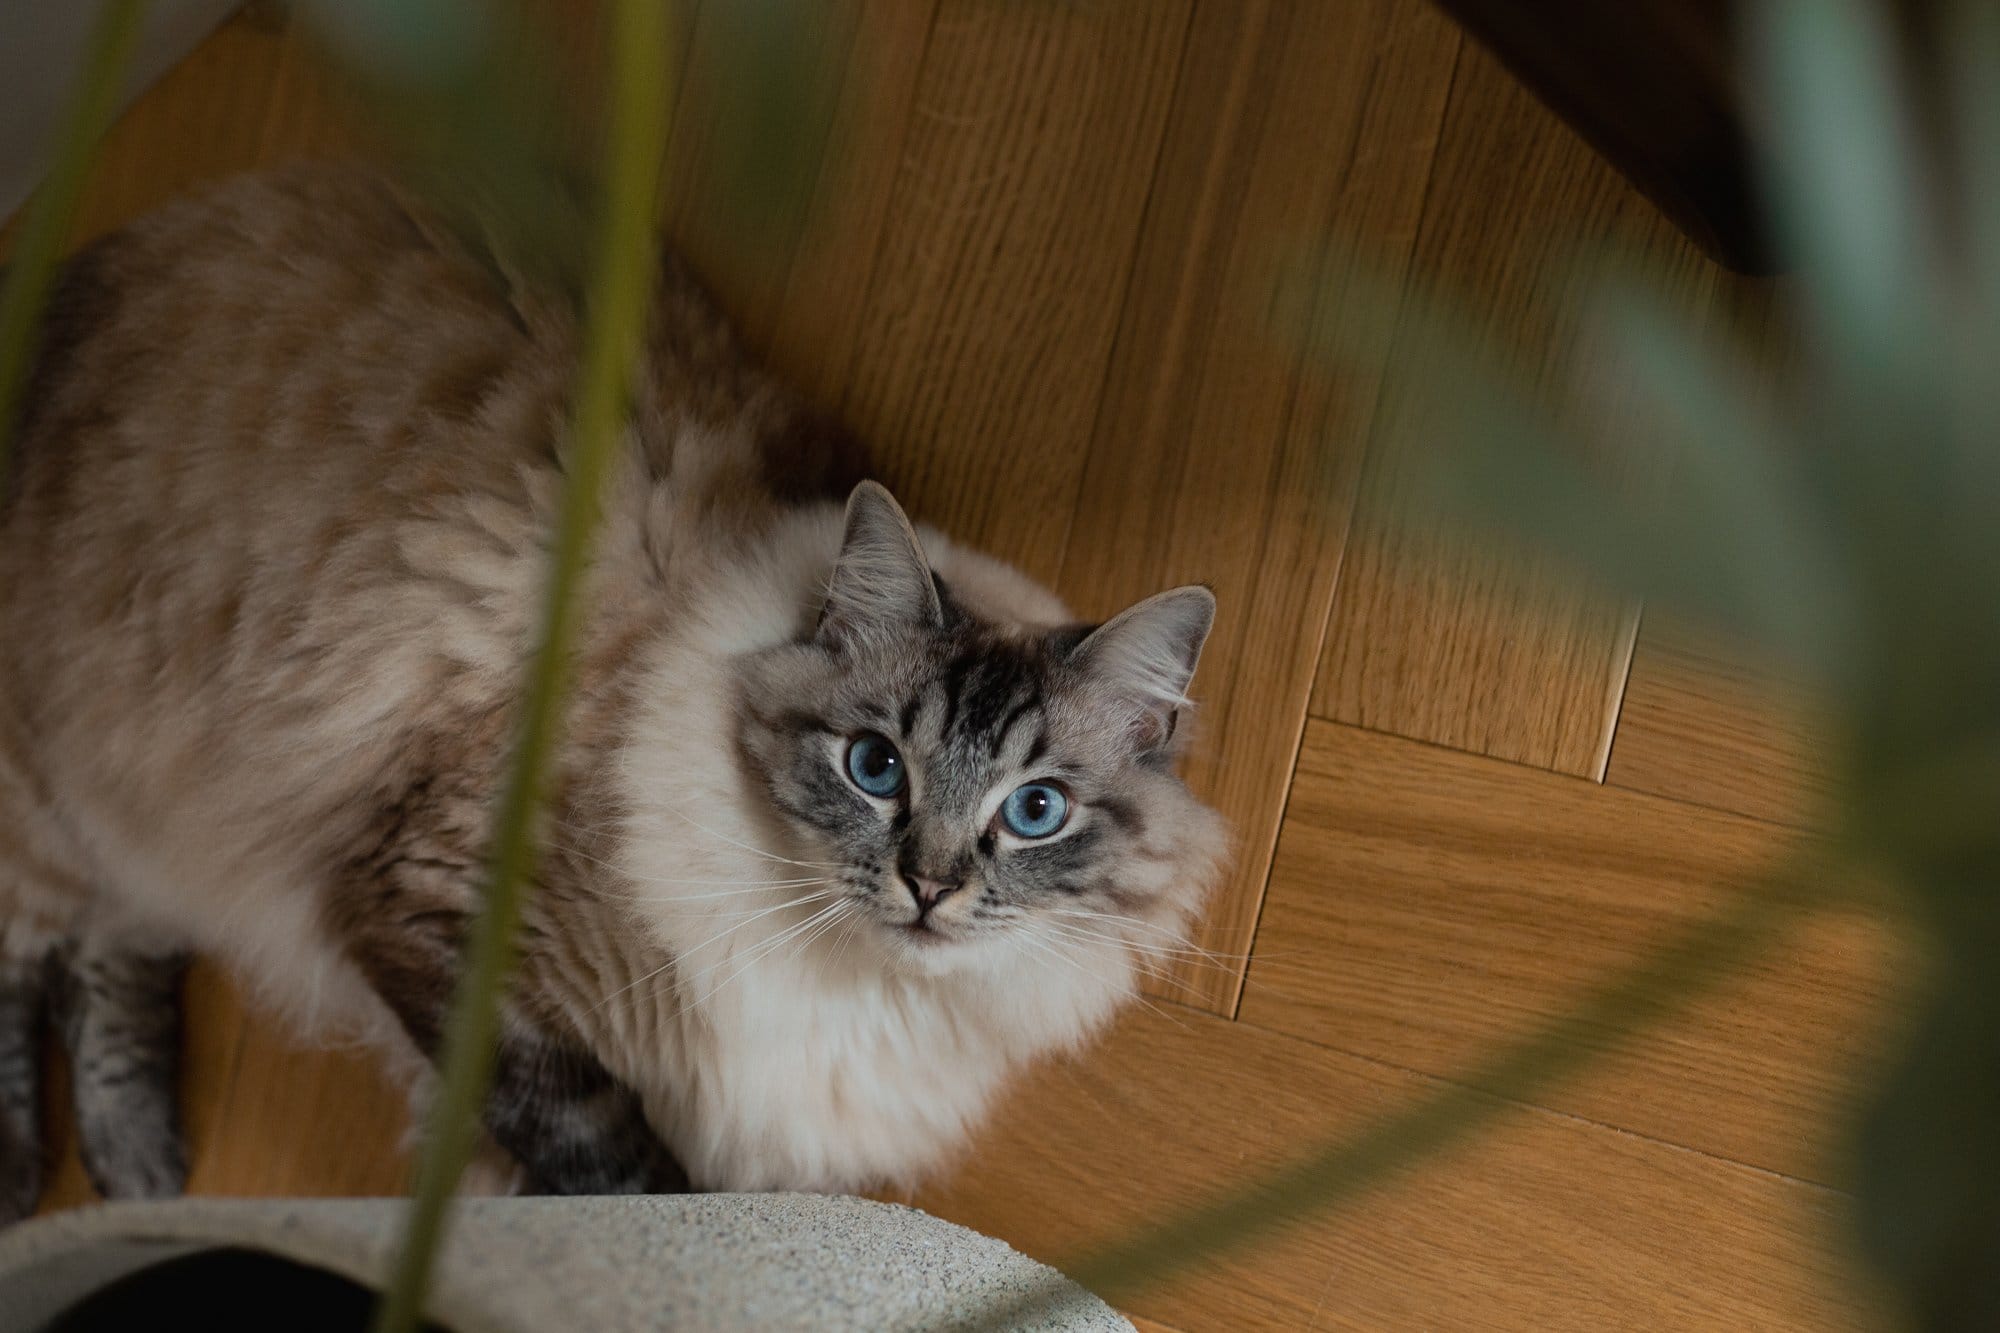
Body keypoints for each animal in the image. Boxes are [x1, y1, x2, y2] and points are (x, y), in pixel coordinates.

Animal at [0, 166, 1224, 1216]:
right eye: (877, 766)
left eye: (1035, 810)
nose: (928, 889)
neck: (856, 986)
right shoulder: (444, 929)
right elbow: (607, 1161)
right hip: (52, 811)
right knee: (36, 959)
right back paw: (38, 1185)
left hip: (124, 831)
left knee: (107, 955)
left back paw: (138, 1168)